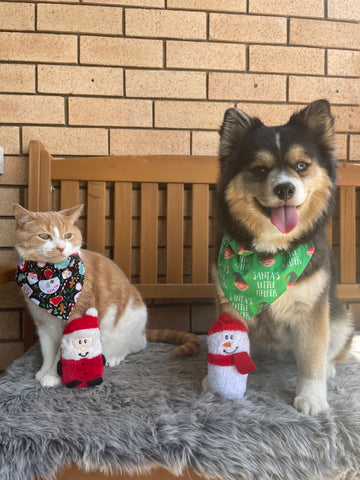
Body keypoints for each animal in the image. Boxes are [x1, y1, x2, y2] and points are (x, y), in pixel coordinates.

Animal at [14, 204, 200, 388]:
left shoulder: (75, 319)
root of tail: (143, 332)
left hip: (131, 321)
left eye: (67, 235)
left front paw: (53, 375)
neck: (48, 275)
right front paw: (44, 372)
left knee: (136, 346)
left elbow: (62, 354)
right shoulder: (43, 324)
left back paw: (114, 356)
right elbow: (47, 351)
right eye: (44, 236)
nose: (61, 247)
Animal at [215, 99, 352, 414]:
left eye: (302, 166)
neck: (270, 256)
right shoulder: (230, 306)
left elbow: (312, 357)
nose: (285, 188)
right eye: (259, 170)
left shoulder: (313, 311)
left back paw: (329, 368)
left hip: (341, 319)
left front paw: (312, 396)